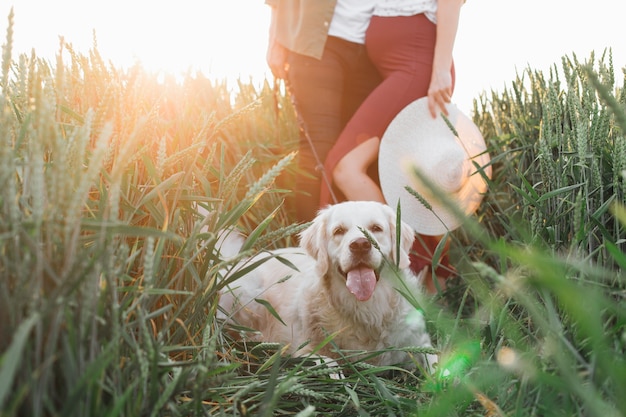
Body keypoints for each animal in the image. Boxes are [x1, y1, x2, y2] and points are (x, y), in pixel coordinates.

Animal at [217, 200, 436, 368]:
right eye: (339, 231)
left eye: (376, 228)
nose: (360, 245)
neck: (367, 308)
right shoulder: (302, 346)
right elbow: (328, 362)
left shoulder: (418, 341)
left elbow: (435, 362)